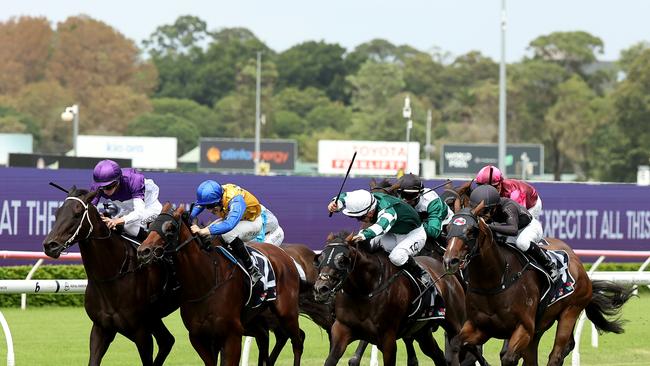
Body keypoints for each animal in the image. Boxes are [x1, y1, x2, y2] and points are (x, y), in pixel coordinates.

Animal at [42, 189, 180, 366]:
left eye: (77, 214)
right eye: (57, 213)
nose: (49, 245)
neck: (111, 278)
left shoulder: (141, 332)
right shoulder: (101, 329)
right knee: (167, 340)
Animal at [137, 203, 304, 366]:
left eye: (170, 228)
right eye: (151, 224)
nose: (143, 251)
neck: (205, 284)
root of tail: (284, 254)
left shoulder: (232, 335)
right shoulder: (198, 337)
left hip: (287, 312)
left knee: (297, 341)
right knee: (264, 338)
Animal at [312, 232, 484, 366]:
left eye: (342, 260)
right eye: (320, 259)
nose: (321, 288)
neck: (364, 291)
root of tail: (448, 273)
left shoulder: (388, 339)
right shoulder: (342, 329)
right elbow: (331, 359)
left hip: (455, 323)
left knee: (472, 348)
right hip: (421, 332)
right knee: (438, 355)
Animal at [442, 204, 632, 364]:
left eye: (471, 231)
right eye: (448, 228)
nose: (450, 260)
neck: (496, 280)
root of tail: (579, 264)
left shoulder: (524, 328)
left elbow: (508, 357)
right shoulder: (479, 327)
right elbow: (457, 345)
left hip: (571, 310)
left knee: (557, 353)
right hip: (540, 327)